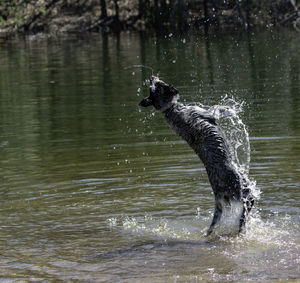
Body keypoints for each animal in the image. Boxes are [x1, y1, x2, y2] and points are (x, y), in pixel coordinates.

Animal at [139, 76, 254, 236]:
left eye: (154, 85)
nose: (151, 77)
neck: (170, 110)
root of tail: (217, 194)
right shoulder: (207, 113)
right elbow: (216, 108)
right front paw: (229, 108)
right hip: (241, 185)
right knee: (246, 205)